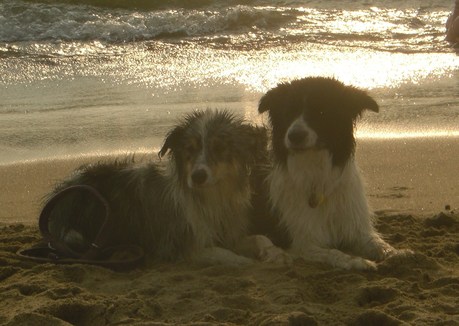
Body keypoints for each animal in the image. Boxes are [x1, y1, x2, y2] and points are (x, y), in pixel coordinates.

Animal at [47, 111, 284, 264]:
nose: (197, 176)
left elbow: (261, 238)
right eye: (190, 149)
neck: (210, 196)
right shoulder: (185, 246)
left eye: (220, 148)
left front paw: (276, 253)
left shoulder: (228, 232)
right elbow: (234, 258)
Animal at [258, 76, 410, 270]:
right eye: (288, 112)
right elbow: (334, 252)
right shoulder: (302, 242)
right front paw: (358, 261)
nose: (294, 136)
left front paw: (397, 253)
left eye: (322, 112)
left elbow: (376, 242)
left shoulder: (354, 226)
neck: (315, 169)